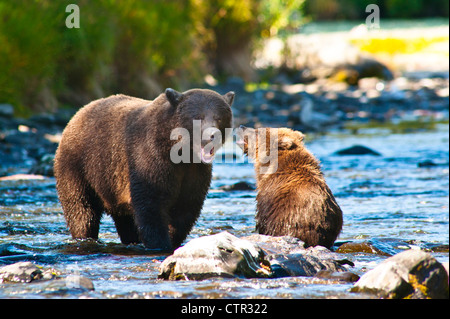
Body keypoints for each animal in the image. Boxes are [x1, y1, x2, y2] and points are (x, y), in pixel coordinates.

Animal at [54, 89, 234, 251]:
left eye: (219, 117)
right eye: (198, 117)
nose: (212, 135)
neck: (182, 154)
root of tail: (78, 114)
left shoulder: (195, 173)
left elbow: (185, 208)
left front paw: (173, 239)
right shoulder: (150, 160)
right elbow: (151, 205)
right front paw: (160, 244)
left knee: (124, 219)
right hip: (79, 167)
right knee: (82, 210)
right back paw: (84, 237)